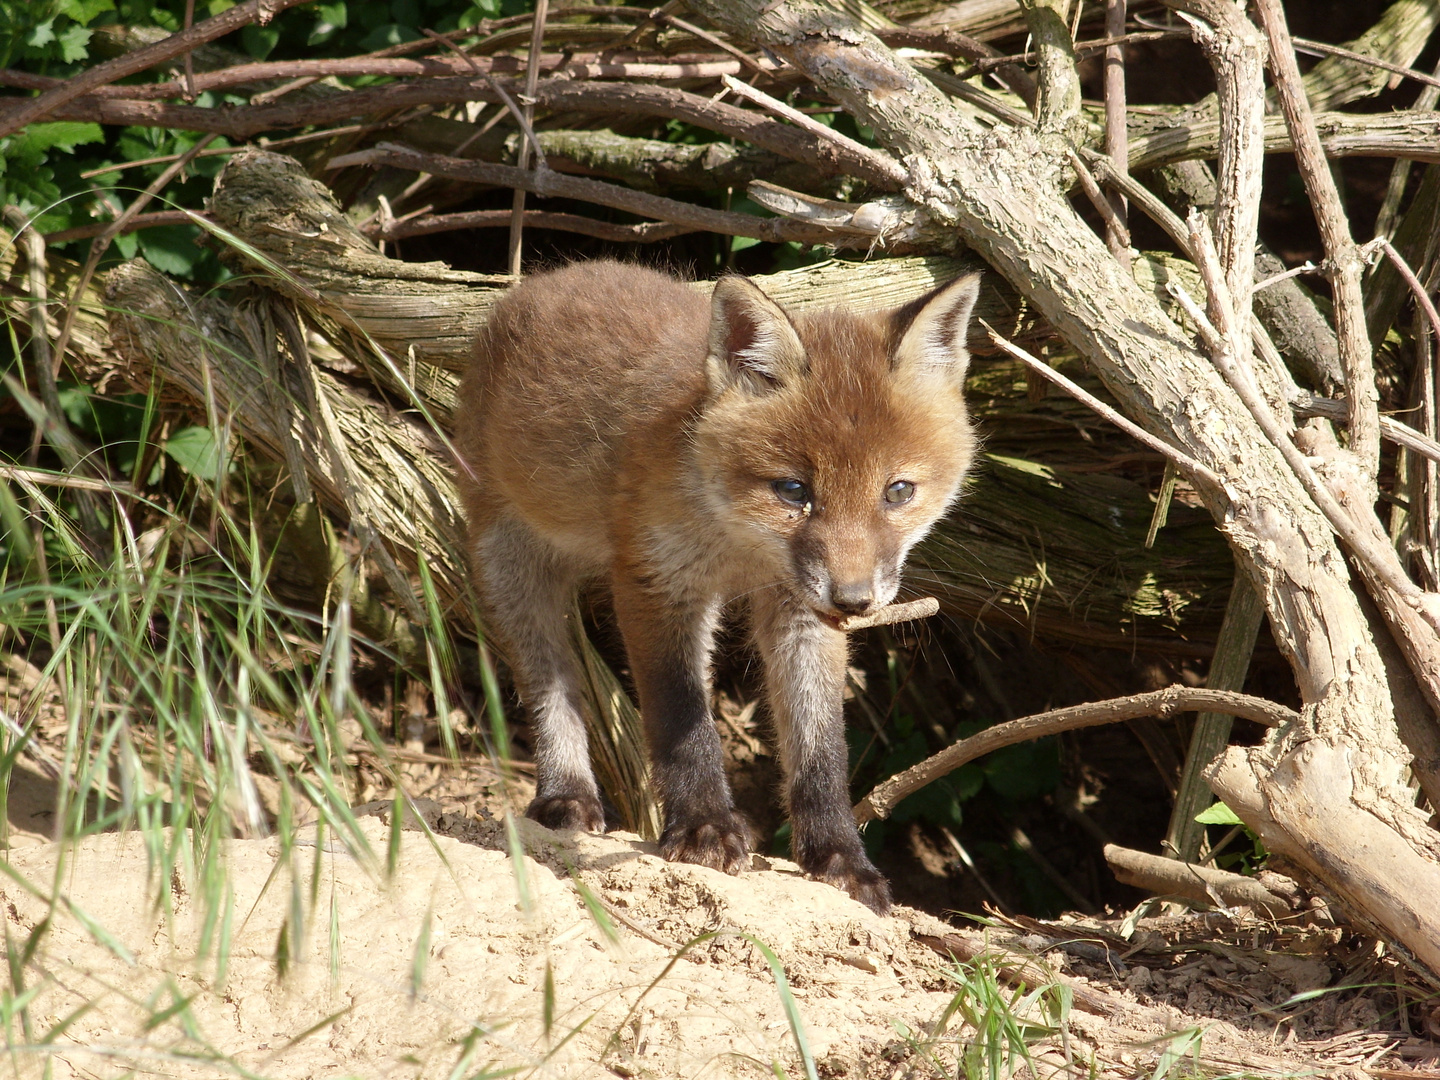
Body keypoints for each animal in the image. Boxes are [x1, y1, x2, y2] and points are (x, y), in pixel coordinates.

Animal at [455, 260, 984, 915]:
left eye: (898, 491)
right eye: (793, 490)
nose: (854, 600)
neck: (740, 546)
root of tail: (549, 278)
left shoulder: (798, 610)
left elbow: (820, 747)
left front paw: (839, 859)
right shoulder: (655, 583)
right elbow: (682, 719)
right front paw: (704, 827)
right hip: (510, 565)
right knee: (549, 686)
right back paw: (566, 793)